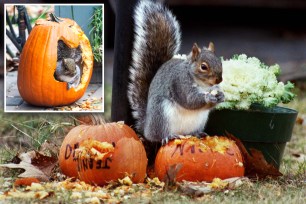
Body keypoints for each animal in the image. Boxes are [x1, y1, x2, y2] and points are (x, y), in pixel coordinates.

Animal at [128, 0, 224, 143]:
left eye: (220, 62)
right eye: (203, 67)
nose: (219, 80)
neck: (203, 85)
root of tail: (146, 128)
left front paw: (221, 96)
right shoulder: (180, 83)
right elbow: (189, 100)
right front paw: (207, 97)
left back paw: (197, 134)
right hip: (161, 115)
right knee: (158, 136)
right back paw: (168, 136)